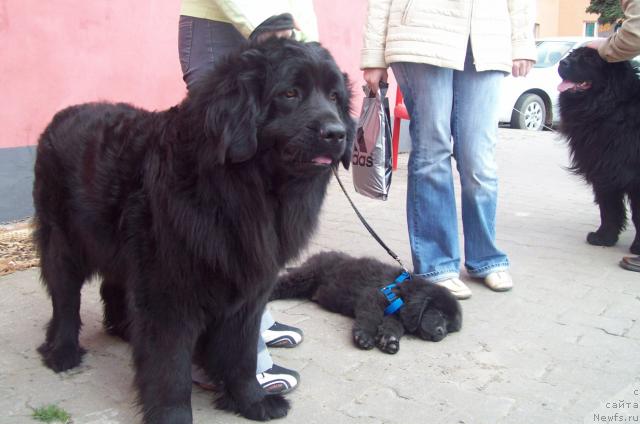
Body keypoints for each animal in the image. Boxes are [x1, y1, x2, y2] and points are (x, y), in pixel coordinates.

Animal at [32, 38, 356, 422]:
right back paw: (62, 351)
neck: (239, 192)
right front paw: (172, 414)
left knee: (112, 285)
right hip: (63, 242)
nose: (336, 133)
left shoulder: (248, 288)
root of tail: (61, 115)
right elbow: (170, 366)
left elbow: (242, 354)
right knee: (65, 300)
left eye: (335, 97)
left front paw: (252, 401)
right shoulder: (169, 290)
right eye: (290, 93)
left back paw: (124, 330)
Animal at [272, 252, 462, 354]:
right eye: (440, 314)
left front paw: (390, 340)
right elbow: (370, 318)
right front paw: (364, 337)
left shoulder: (395, 315)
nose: (441, 333)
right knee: (282, 283)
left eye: (450, 329)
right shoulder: (373, 298)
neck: (402, 291)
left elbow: (394, 326)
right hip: (305, 276)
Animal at [556, 47, 636, 252]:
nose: (562, 62)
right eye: (572, 54)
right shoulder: (603, 170)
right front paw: (603, 237)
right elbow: (609, 209)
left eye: (590, 59)